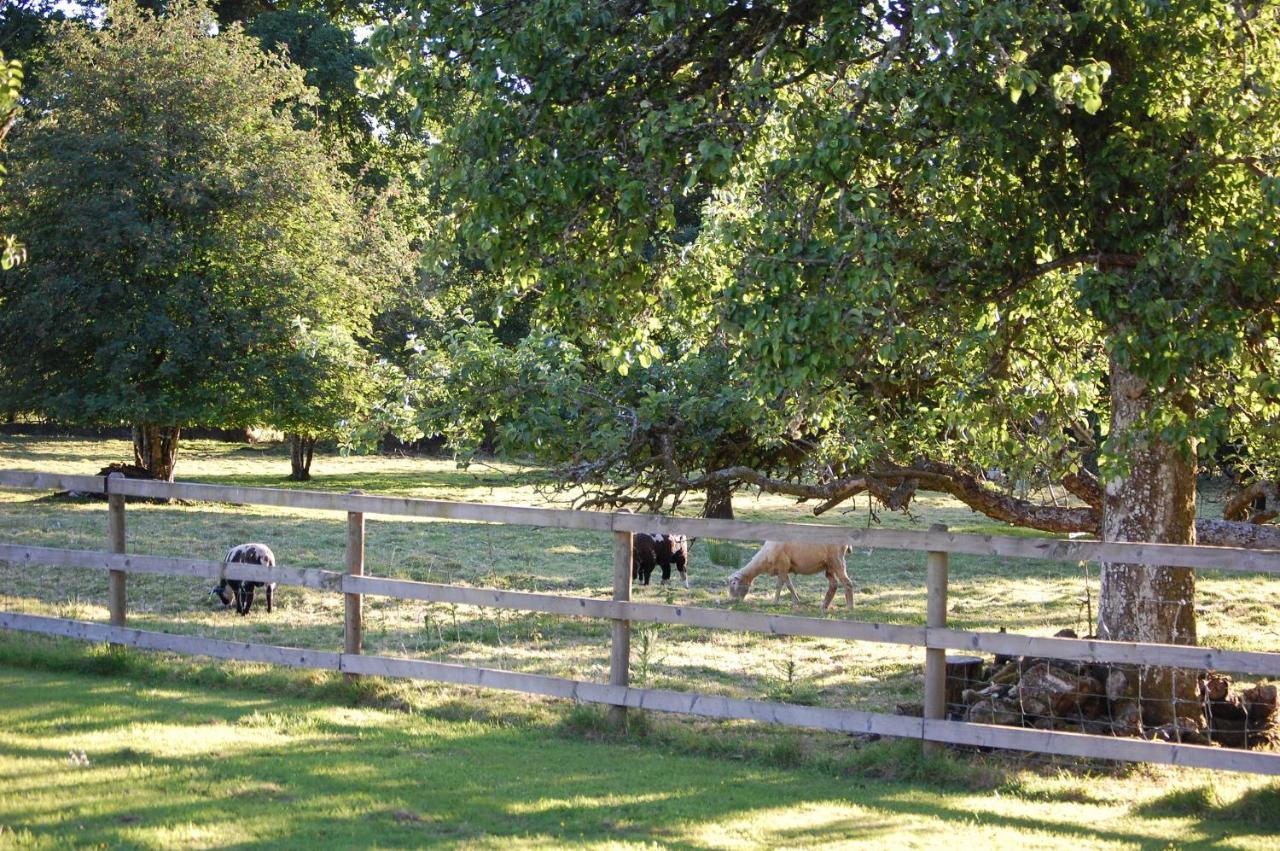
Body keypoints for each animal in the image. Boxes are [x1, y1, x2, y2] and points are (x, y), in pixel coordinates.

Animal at [727, 545, 855, 611]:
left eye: (733, 583)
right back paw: (824, 606)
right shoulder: (782, 569)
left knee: (847, 583)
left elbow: (781, 585)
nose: (733, 601)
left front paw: (775, 602)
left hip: (837, 560)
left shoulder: (783, 565)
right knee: (833, 585)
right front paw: (795, 601)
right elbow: (789, 585)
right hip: (829, 565)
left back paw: (850, 608)